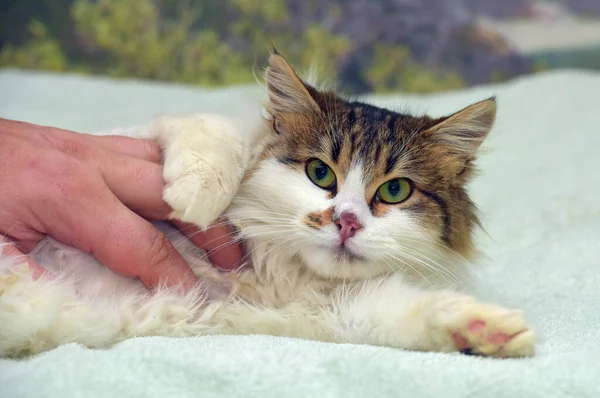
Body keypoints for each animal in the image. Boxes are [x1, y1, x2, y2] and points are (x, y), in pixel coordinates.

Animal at [0, 52, 536, 358]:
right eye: (320, 174)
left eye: (394, 192)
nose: (345, 221)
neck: (276, 277)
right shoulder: (143, 137)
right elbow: (215, 132)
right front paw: (196, 196)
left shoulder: (336, 311)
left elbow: (410, 312)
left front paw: (489, 331)